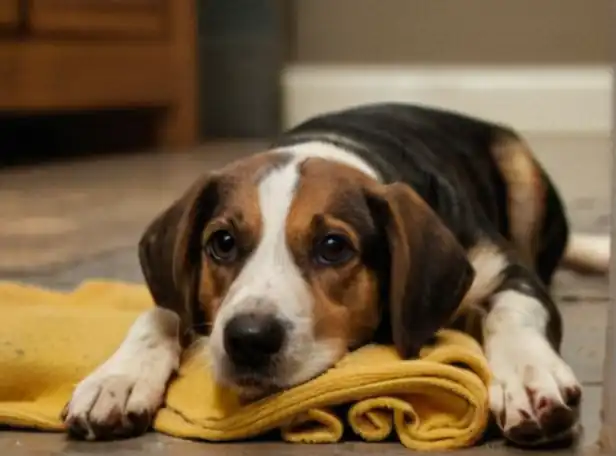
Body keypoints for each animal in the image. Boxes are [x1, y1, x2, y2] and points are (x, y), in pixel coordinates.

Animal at [60, 102, 608, 446]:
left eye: (332, 247)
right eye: (222, 243)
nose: (249, 339)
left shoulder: (507, 272)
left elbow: (512, 315)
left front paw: (529, 380)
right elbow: (159, 313)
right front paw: (118, 380)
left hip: (520, 167)